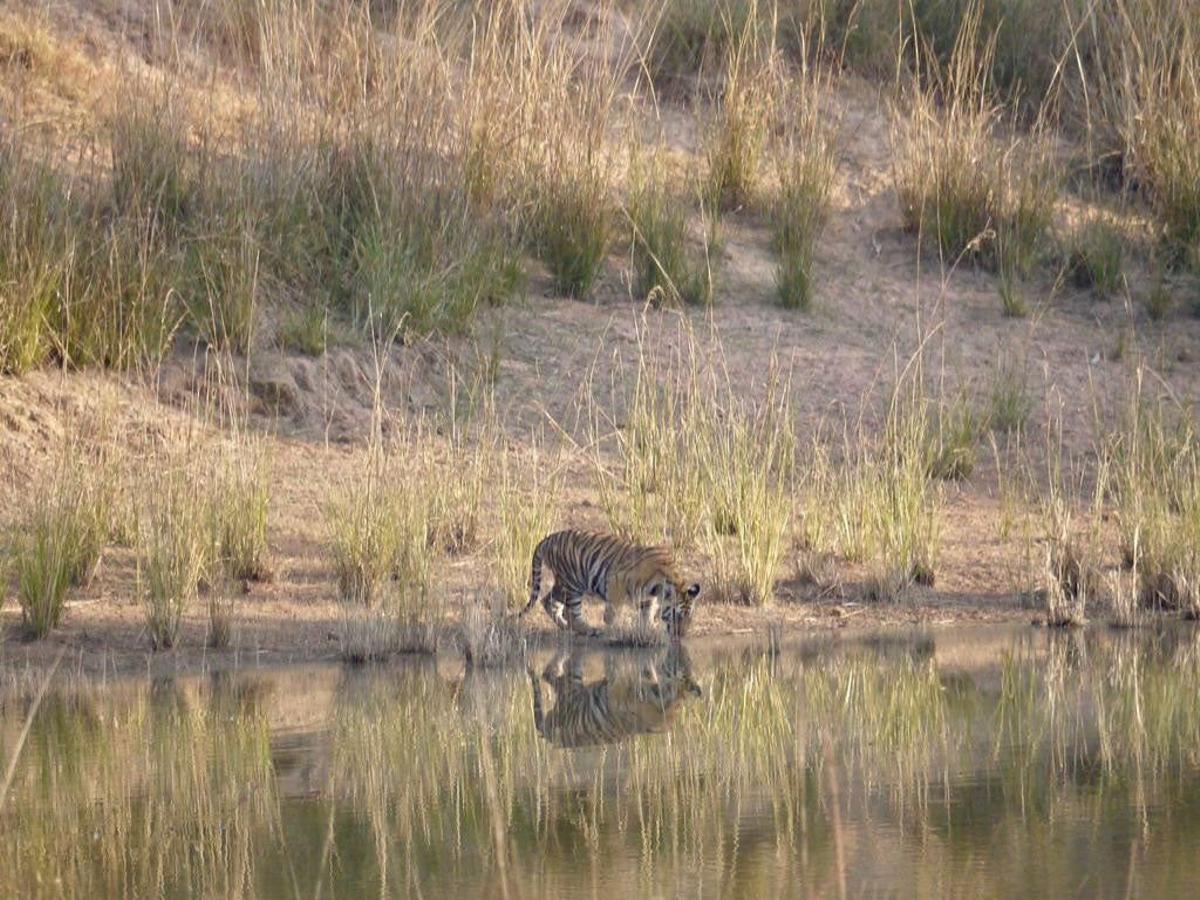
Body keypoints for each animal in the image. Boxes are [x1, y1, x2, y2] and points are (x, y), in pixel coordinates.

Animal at [518, 528, 700, 643]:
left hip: (563, 584)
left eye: (690, 617)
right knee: (571, 612)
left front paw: (647, 632)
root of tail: (548, 539)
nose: (681, 635)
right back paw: (590, 630)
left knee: (547, 601)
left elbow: (646, 616)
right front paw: (613, 631)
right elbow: (612, 613)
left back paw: (564, 626)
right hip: (573, 583)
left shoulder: (646, 598)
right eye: (678, 615)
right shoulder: (616, 581)